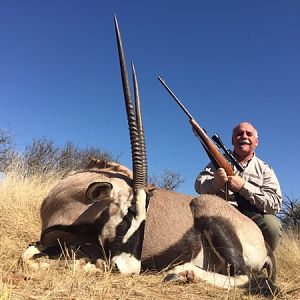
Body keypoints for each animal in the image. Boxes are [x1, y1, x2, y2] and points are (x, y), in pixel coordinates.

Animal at [22, 16, 276, 288]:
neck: (63, 199)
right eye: (130, 213)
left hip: (212, 218)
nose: (130, 269)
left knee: (242, 275)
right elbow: (28, 253)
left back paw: (181, 272)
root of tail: (264, 244)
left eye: (144, 216)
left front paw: (84, 266)